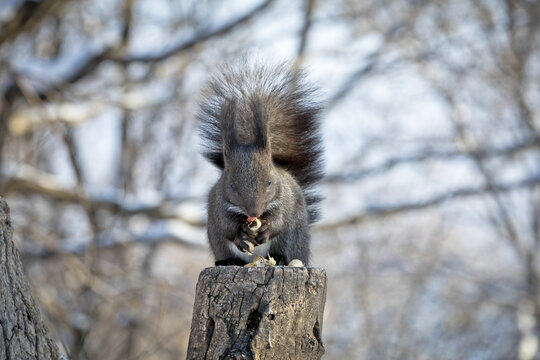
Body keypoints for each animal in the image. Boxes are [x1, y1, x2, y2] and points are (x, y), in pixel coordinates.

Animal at [199, 62, 322, 266]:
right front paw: (240, 233)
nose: (254, 212)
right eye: (232, 186)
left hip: (293, 240)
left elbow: (279, 221)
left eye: (269, 182)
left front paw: (266, 228)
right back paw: (228, 261)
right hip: (219, 244)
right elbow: (226, 225)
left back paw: (279, 257)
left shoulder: (284, 201)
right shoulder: (219, 203)